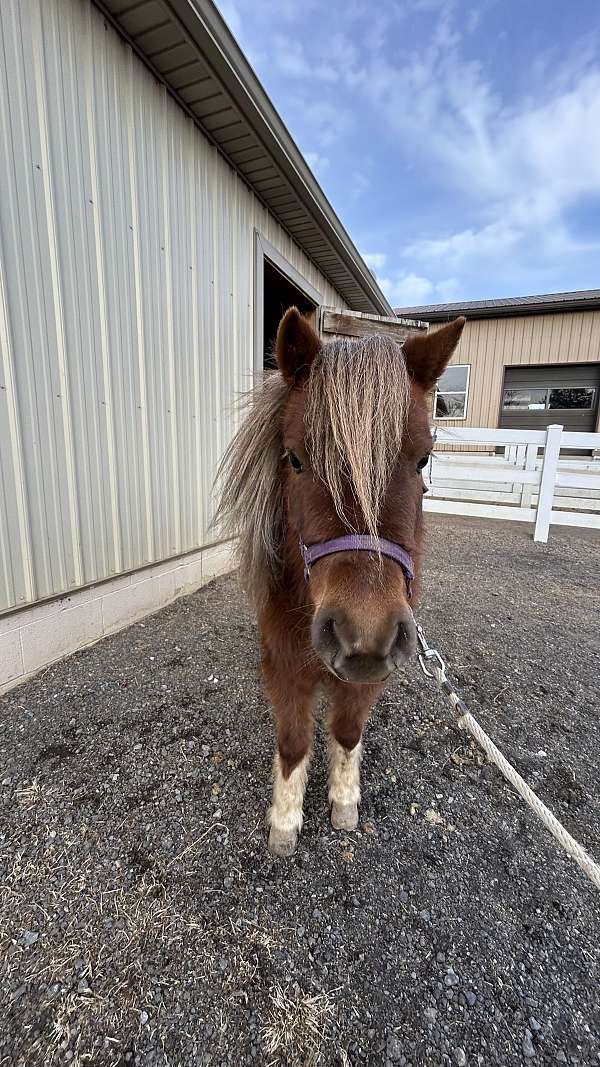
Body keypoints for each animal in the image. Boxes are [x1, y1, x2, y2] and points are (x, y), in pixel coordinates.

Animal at [216, 305, 465, 853]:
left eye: (423, 459)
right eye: (294, 458)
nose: (363, 636)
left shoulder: (369, 676)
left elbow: (348, 732)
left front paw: (344, 802)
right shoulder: (285, 667)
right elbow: (293, 741)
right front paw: (285, 822)